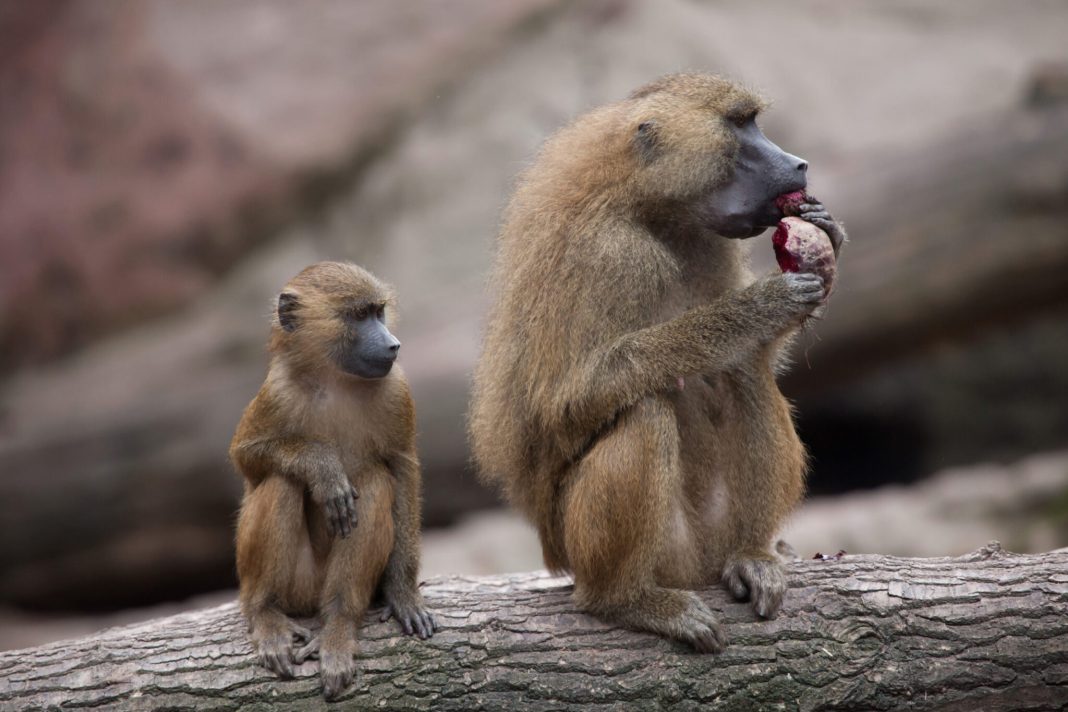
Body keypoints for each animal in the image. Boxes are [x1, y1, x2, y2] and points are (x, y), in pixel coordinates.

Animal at [230, 261, 435, 700]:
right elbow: (247, 458)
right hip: (297, 584)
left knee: (375, 482)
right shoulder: (277, 391)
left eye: (378, 312)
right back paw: (265, 613)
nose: (393, 345)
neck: (335, 377)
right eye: (358, 316)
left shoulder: (398, 390)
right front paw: (322, 467)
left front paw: (402, 593)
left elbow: (402, 470)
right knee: (281, 481)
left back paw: (339, 625)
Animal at [470, 74, 846, 653]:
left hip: (709, 538)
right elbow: (567, 400)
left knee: (744, 374)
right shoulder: (610, 253)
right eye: (739, 125)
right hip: (647, 551)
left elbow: (751, 356)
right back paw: (623, 600)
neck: (645, 207)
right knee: (643, 412)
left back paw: (753, 555)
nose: (799, 164)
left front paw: (829, 234)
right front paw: (757, 306)